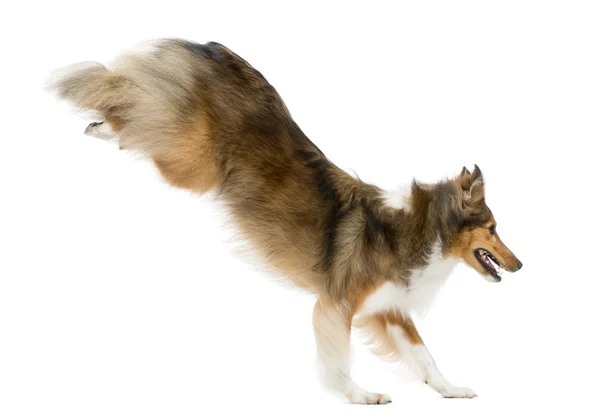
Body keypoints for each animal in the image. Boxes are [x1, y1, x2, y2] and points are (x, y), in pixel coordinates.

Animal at [49, 39, 524, 404]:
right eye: (494, 229)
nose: (520, 265)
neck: (424, 227)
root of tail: (217, 52)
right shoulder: (336, 303)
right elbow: (339, 359)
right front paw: (358, 395)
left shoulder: (386, 308)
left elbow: (425, 355)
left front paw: (451, 389)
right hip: (190, 160)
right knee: (133, 109)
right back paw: (99, 121)